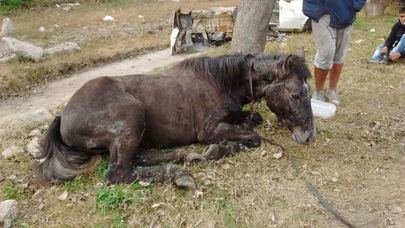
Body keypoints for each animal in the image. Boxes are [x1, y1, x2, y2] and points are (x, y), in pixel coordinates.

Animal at [38, 53, 314, 189]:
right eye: (295, 94)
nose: (309, 135)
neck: (217, 82)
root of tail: (63, 116)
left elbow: (253, 120)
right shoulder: (209, 130)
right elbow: (253, 137)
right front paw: (223, 148)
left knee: (139, 158)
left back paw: (187, 157)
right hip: (131, 117)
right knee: (120, 174)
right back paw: (179, 173)